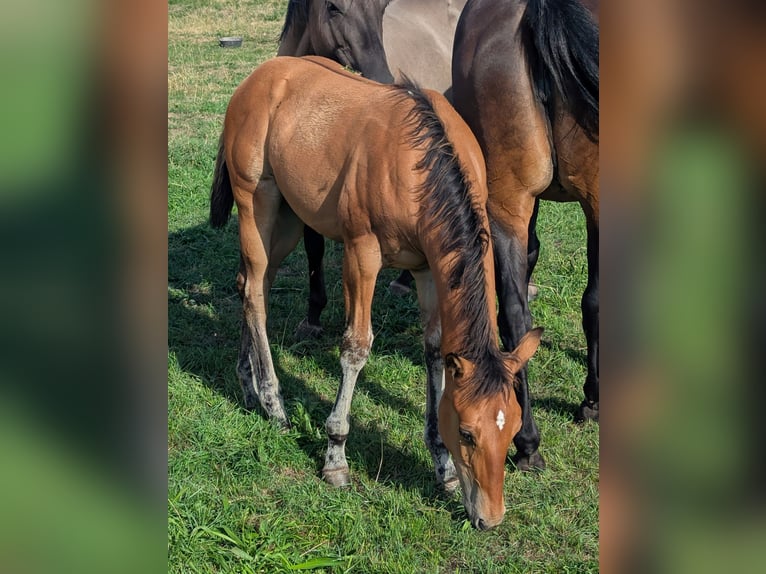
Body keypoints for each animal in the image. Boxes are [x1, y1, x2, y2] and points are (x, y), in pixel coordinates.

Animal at [209, 55, 543, 529]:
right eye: (467, 432)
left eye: (513, 428)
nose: (490, 518)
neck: (419, 163)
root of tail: (259, 77)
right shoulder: (361, 254)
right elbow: (355, 347)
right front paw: (335, 457)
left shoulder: (427, 269)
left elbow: (434, 350)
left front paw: (442, 467)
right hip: (257, 203)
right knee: (255, 293)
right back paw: (274, 404)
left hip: (289, 220)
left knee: (250, 286)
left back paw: (247, 383)